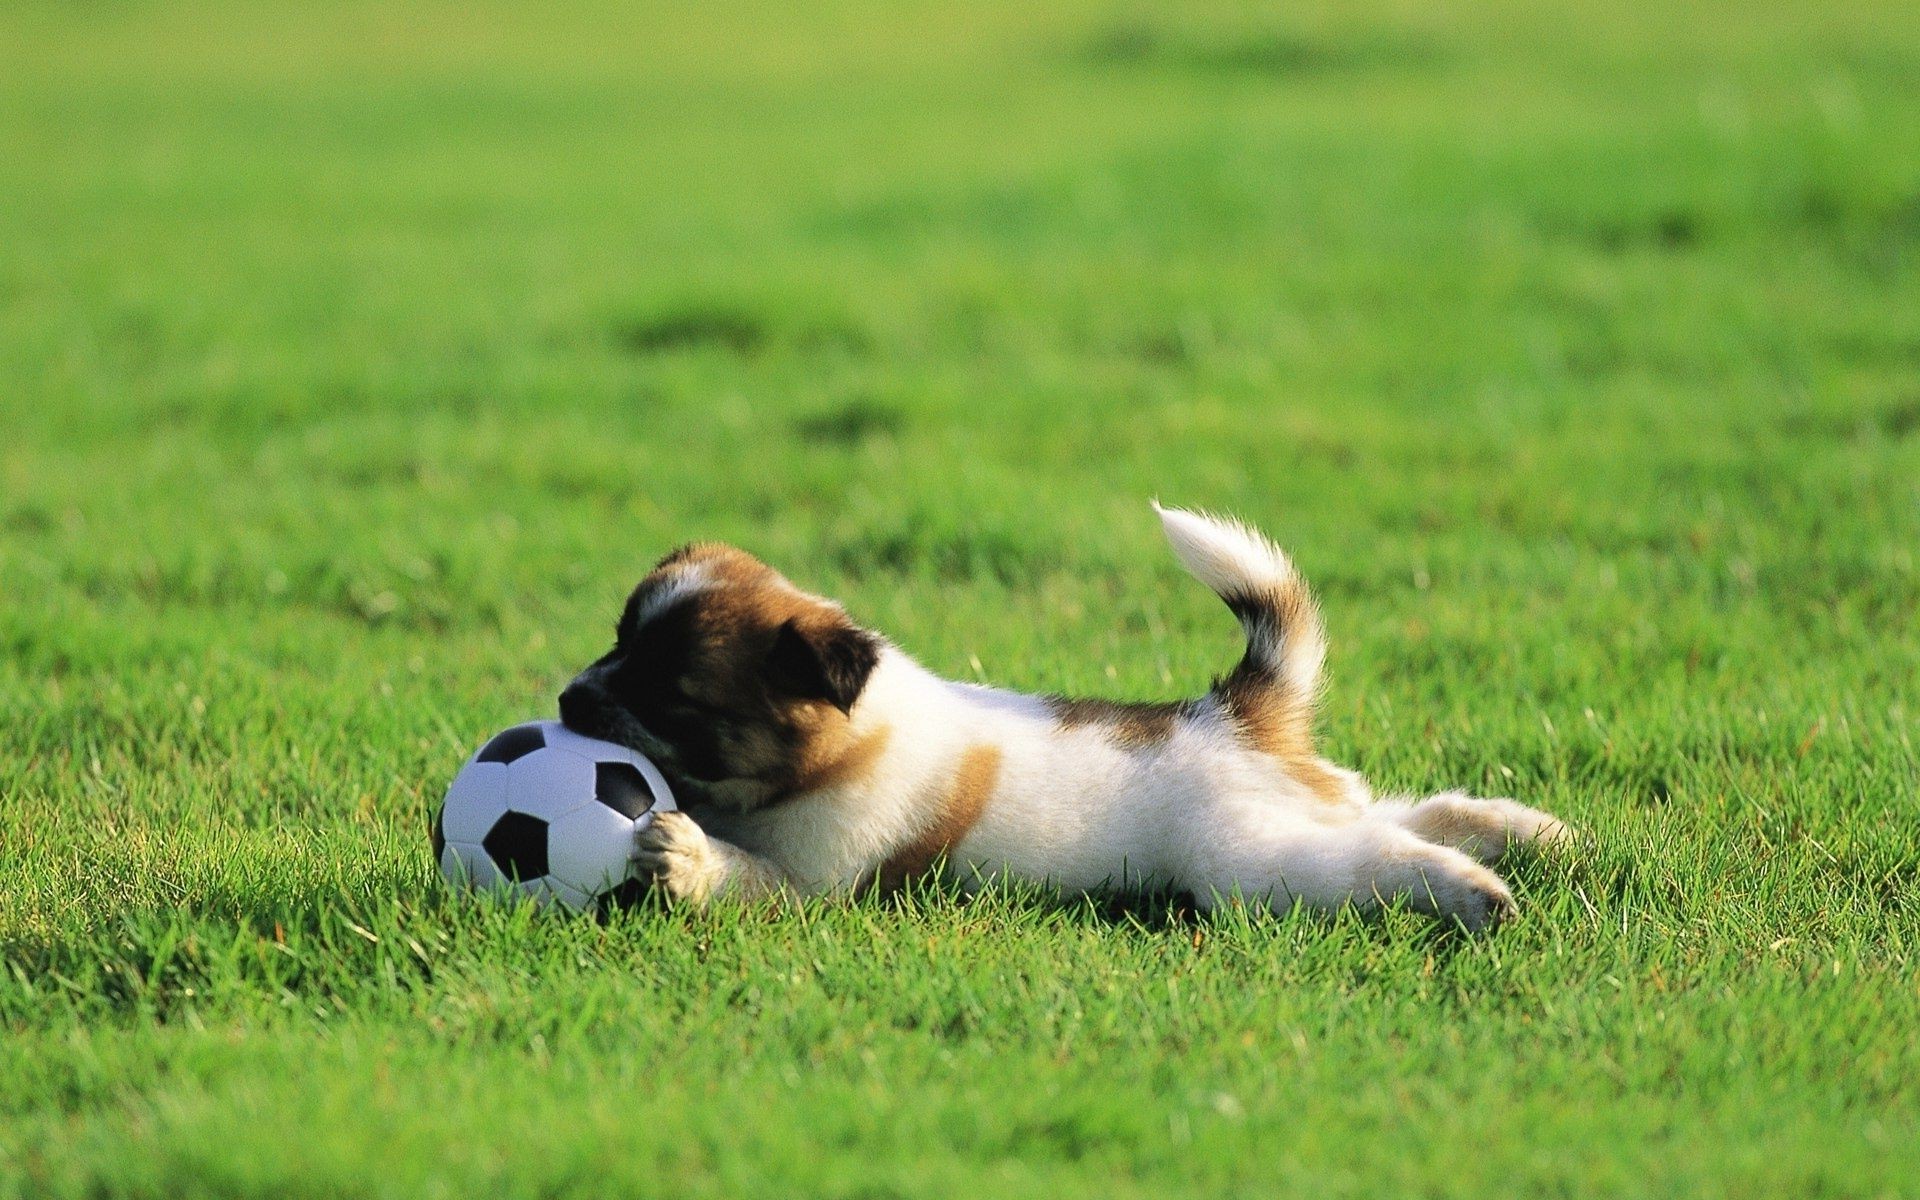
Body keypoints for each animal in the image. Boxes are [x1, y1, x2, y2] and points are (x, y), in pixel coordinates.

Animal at [552, 499, 1559, 933]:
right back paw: (1531, 834)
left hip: (1250, 860)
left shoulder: (814, 882)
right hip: (1302, 805)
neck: (841, 741)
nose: (565, 700)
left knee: (1378, 854)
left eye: (674, 697)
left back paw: (1476, 890)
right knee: (1402, 811)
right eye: (615, 641)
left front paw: (682, 856)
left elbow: (739, 873)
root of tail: (1231, 714)